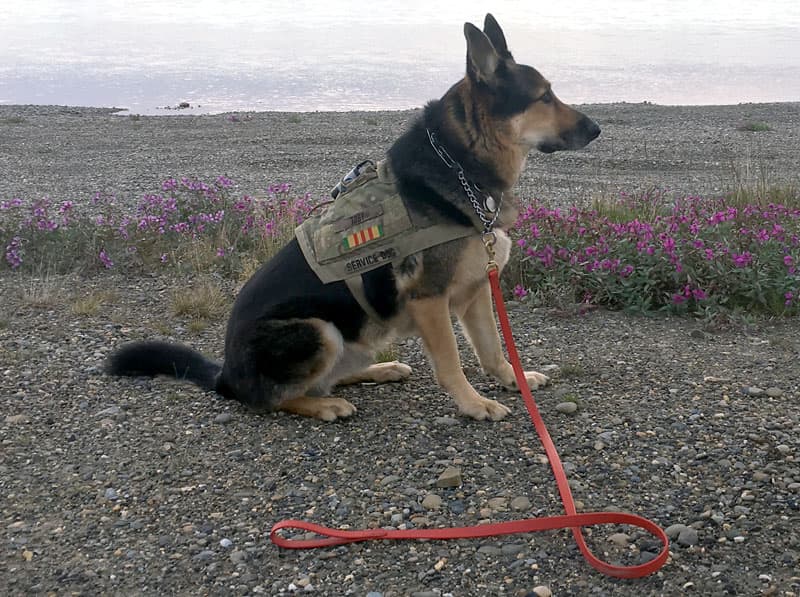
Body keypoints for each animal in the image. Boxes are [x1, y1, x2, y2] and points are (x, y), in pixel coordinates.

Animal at [106, 15, 596, 424]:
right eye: (544, 96)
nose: (597, 129)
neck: (459, 160)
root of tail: (225, 375)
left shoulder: (475, 292)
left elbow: (492, 349)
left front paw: (514, 379)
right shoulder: (430, 299)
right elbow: (452, 363)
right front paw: (473, 404)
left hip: (362, 333)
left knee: (329, 376)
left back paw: (381, 370)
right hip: (318, 330)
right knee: (275, 398)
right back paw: (325, 405)